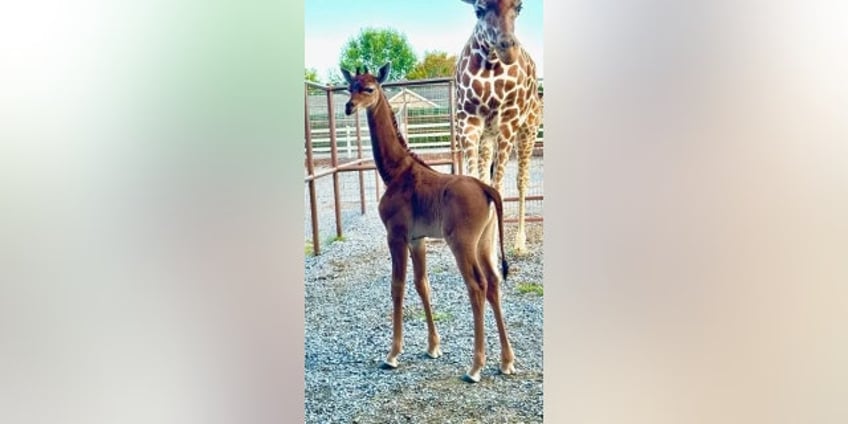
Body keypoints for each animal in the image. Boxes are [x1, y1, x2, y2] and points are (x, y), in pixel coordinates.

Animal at [454, 0, 540, 255]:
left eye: (519, 7)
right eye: (478, 10)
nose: (507, 49)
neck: (490, 64)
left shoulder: (507, 123)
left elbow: (499, 186)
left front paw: (491, 253)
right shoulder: (468, 122)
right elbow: (476, 181)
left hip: (528, 130)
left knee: (522, 180)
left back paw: (520, 243)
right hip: (488, 136)